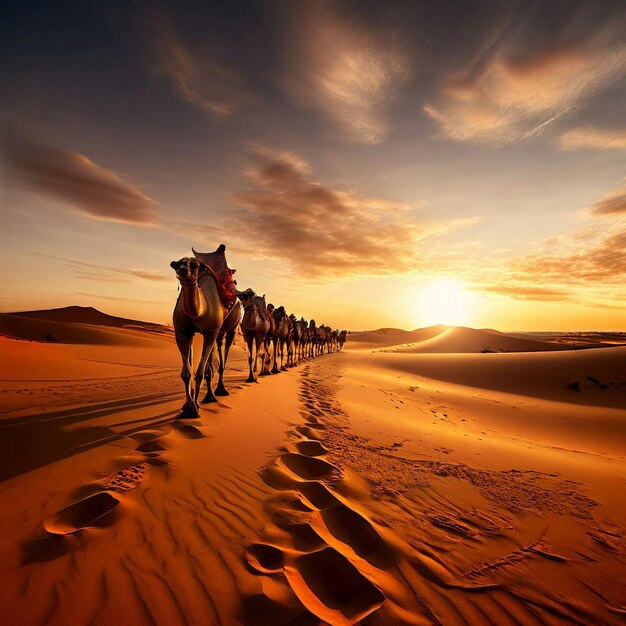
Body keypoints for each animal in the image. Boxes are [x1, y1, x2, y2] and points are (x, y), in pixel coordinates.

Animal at [171, 256, 224, 416]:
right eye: (177, 265)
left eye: (194, 265)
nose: (183, 270)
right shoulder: (182, 331)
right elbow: (186, 373)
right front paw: (187, 407)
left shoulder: (212, 332)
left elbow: (200, 372)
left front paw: (194, 409)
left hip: (224, 331)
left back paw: (215, 395)